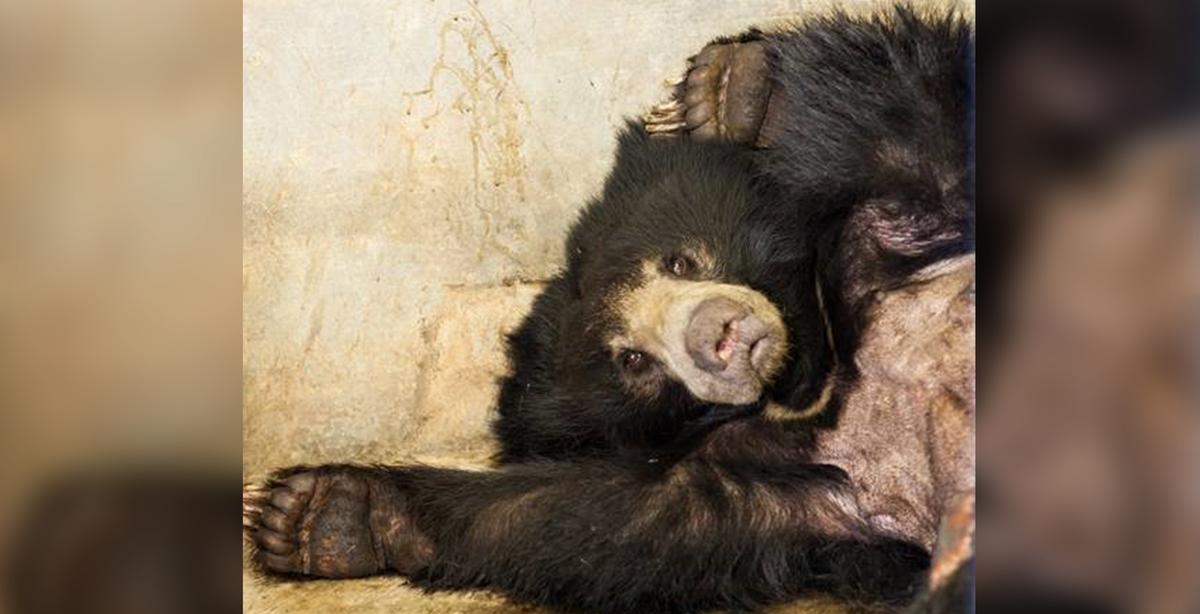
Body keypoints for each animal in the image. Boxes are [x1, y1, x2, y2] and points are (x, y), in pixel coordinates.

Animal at [244, 6, 973, 613]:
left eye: (681, 262)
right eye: (634, 361)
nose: (718, 336)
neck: (818, 375)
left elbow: (928, 127)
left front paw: (729, 92)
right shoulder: (815, 481)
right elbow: (618, 517)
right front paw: (317, 516)